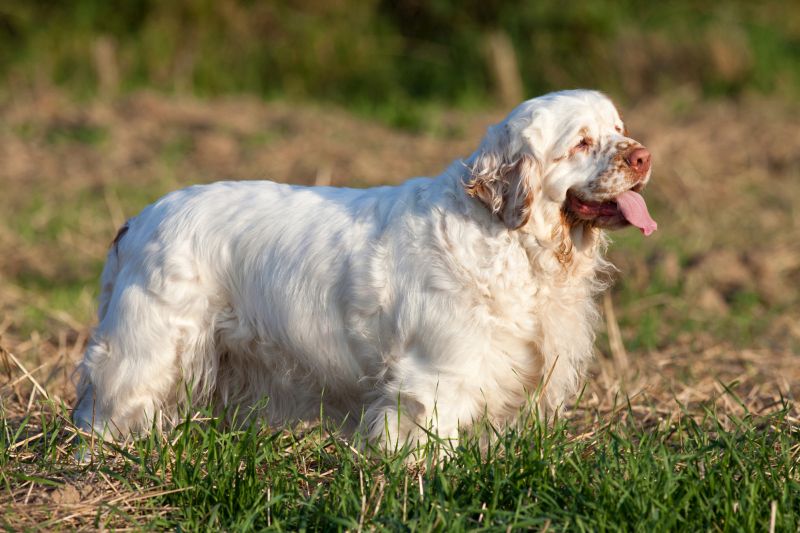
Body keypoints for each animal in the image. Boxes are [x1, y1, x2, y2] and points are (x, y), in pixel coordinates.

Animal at [72, 89, 652, 446]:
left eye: (620, 128)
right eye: (581, 142)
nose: (644, 156)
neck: (512, 242)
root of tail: (138, 219)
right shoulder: (433, 380)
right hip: (146, 352)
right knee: (104, 413)